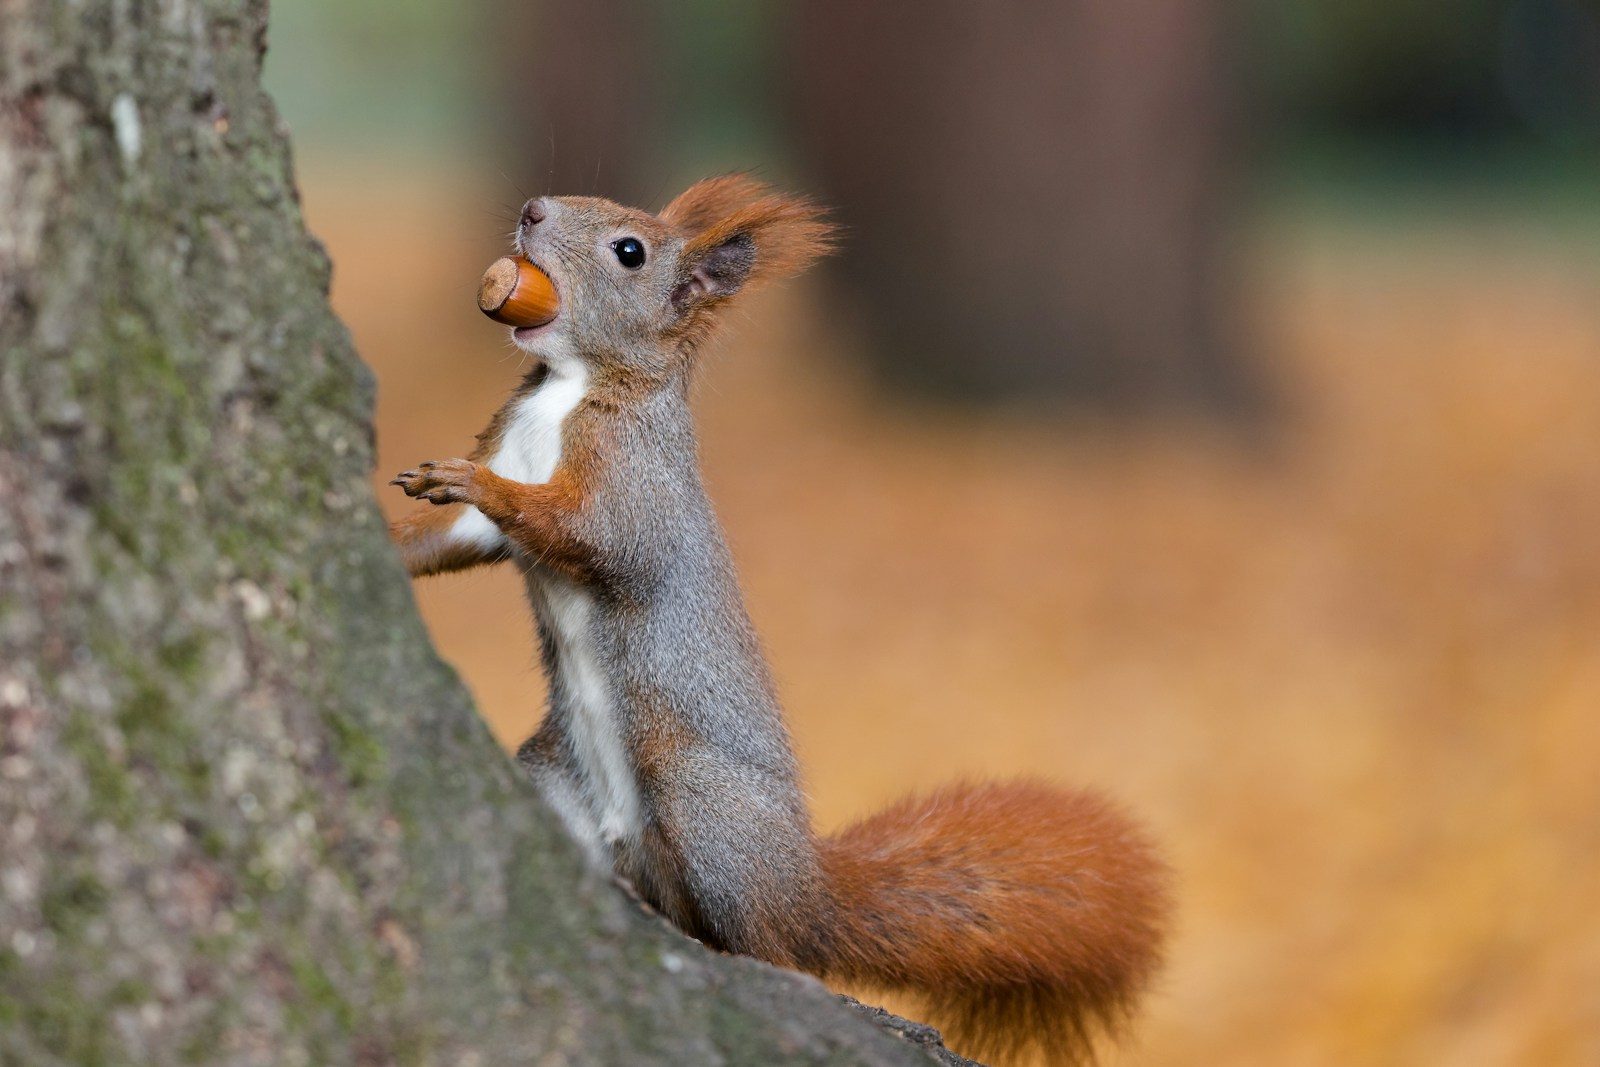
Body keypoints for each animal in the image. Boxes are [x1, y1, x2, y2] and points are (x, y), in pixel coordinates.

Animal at [388, 175, 1170, 1065]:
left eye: (630, 251)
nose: (533, 210)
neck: (565, 387)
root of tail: (805, 893)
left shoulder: (635, 484)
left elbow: (589, 534)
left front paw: (470, 480)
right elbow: (454, 540)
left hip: (701, 799)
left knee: (772, 945)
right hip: (554, 780)